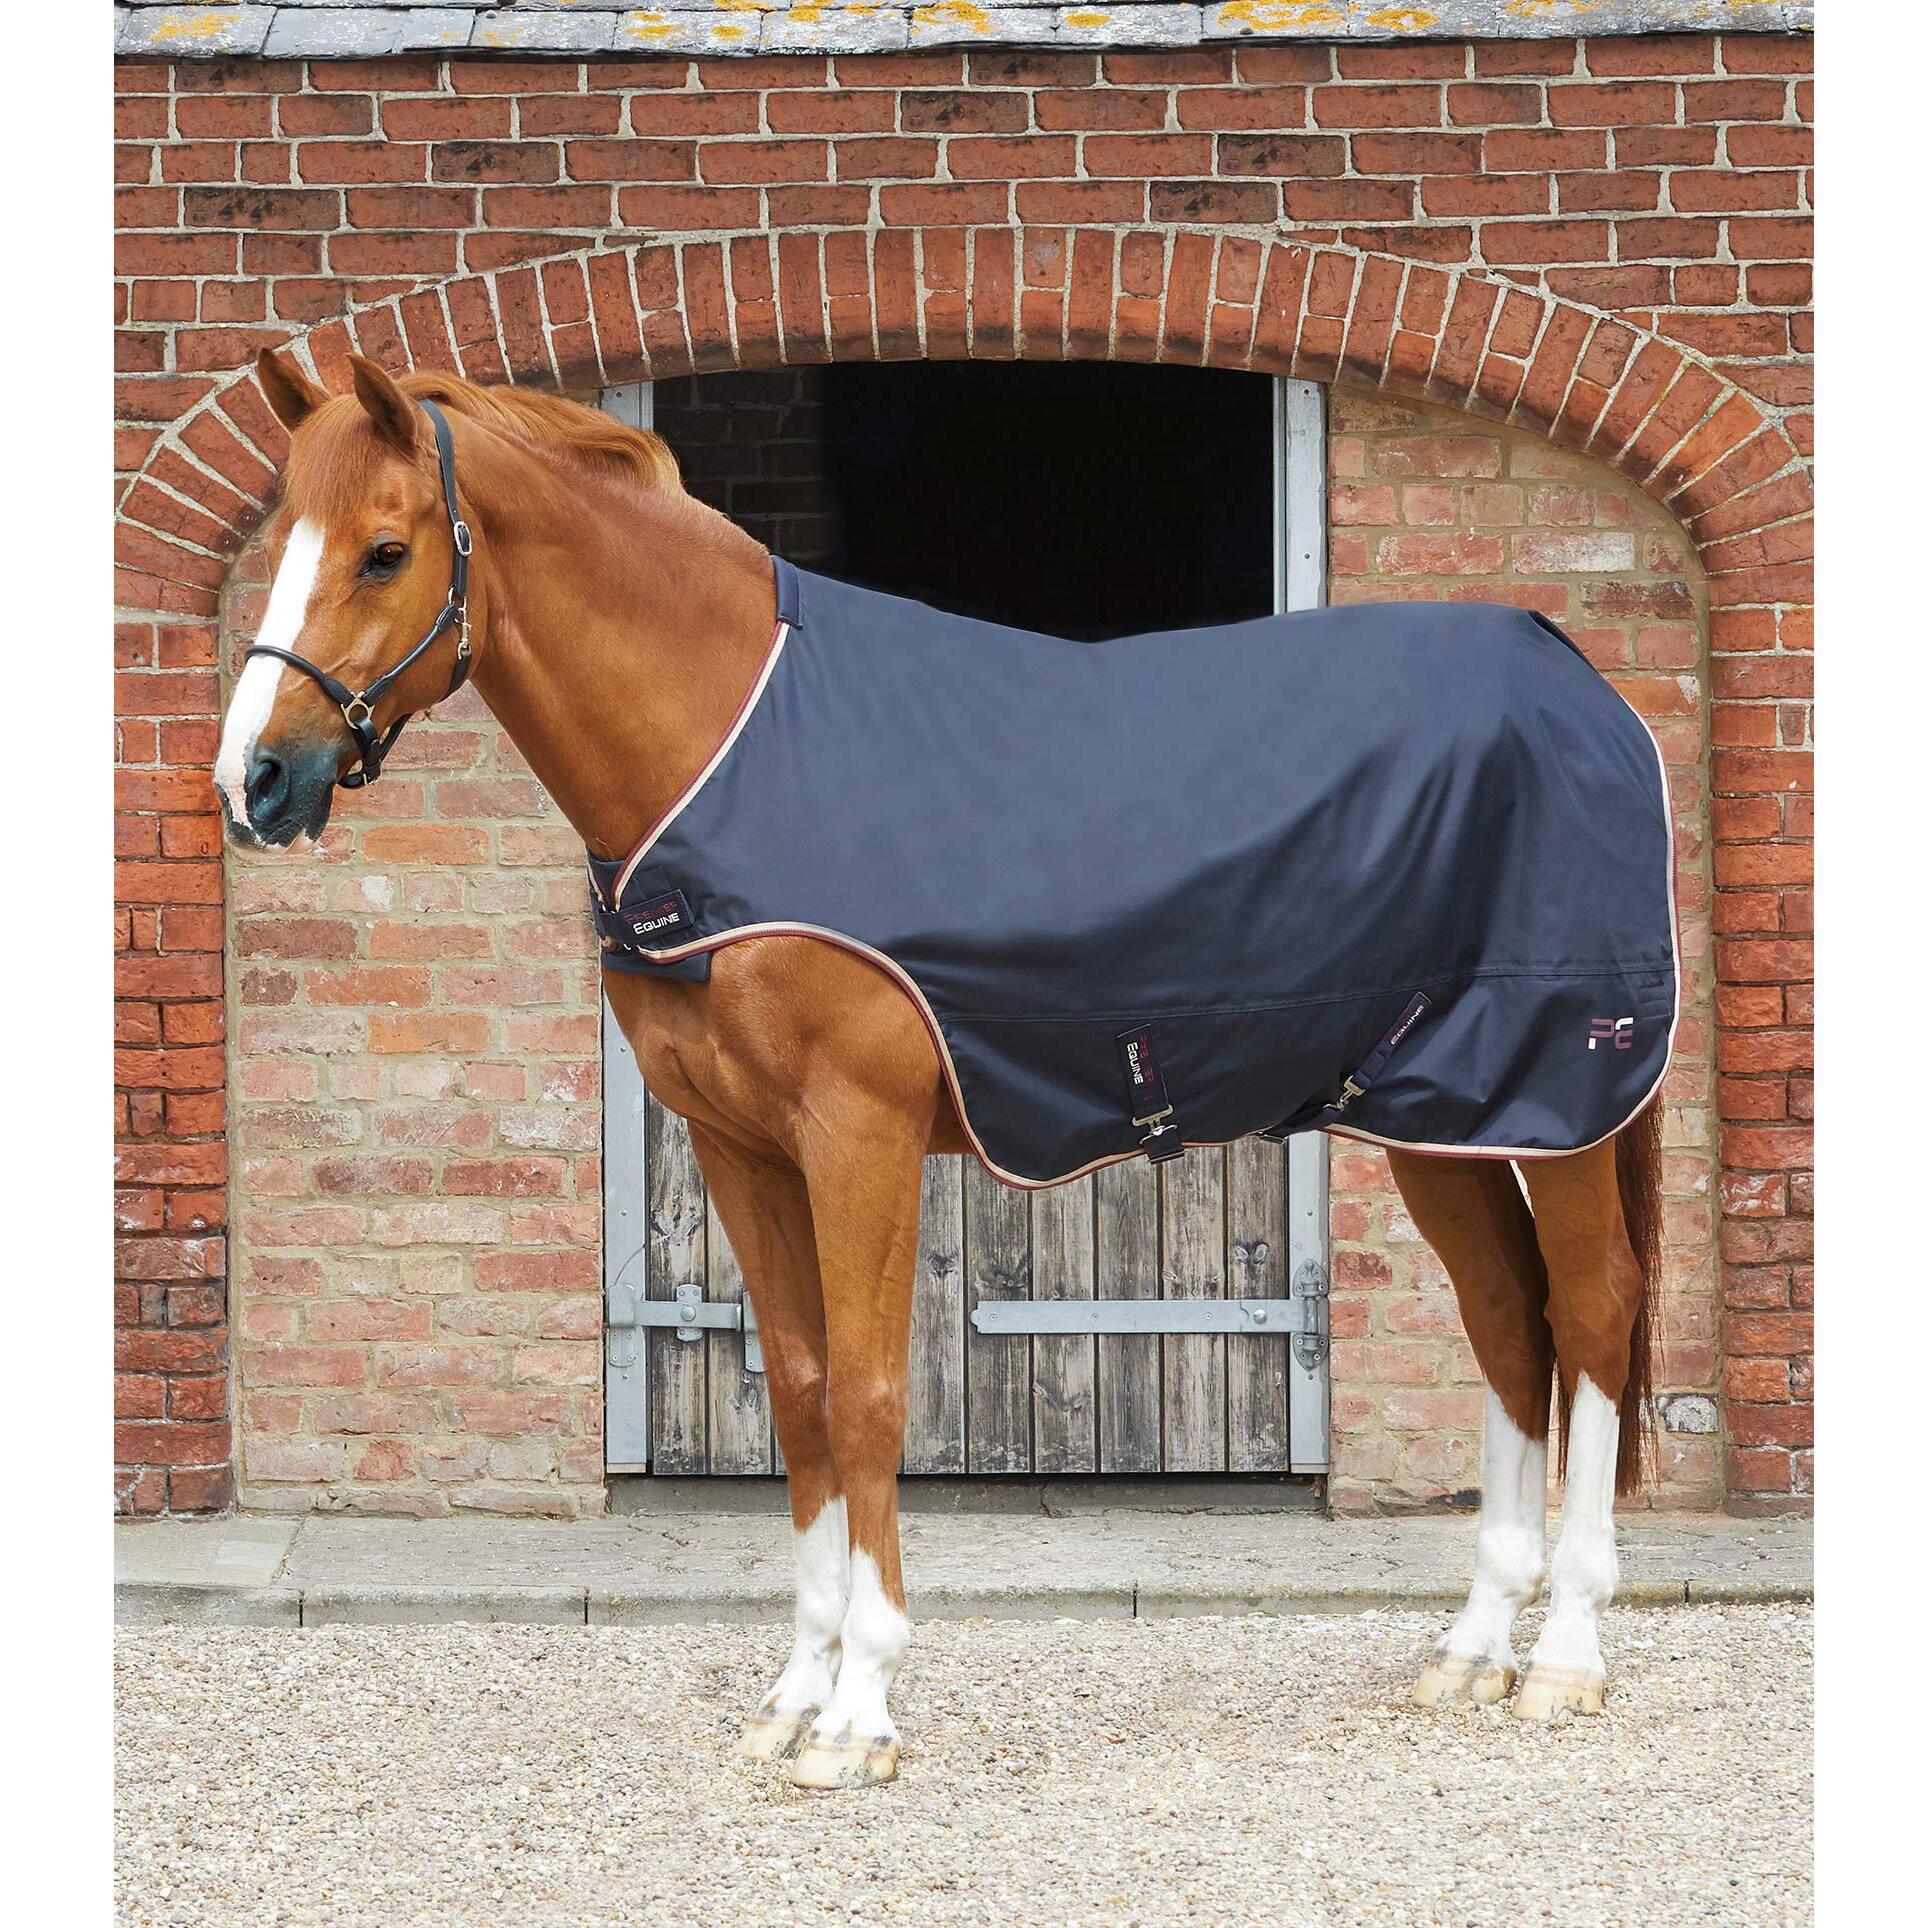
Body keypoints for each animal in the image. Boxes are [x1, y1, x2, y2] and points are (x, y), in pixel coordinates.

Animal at [214, 348, 1662, 1790]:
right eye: (279, 540)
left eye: (386, 550)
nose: (254, 781)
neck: (729, 752)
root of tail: (1576, 682)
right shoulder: (739, 1146)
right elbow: (801, 1395)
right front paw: (794, 1694)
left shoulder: (858, 1133)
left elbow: (867, 1397)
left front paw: (860, 1712)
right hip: (1442, 1113)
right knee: (1505, 1321)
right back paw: (1474, 1648)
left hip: (1562, 1101)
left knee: (1591, 1311)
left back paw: (1565, 1656)